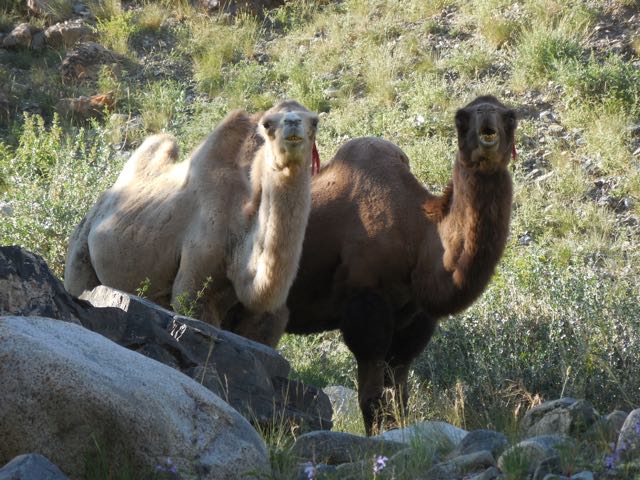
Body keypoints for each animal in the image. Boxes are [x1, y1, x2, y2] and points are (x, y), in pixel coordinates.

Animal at [64, 100, 319, 337]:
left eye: (315, 121)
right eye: (267, 124)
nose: (293, 123)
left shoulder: (266, 315)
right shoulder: (193, 283)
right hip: (80, 249)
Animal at [278, 96, 516, 435]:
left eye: (511, 117)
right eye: (460, 119)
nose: (486, 120)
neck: (418, 236)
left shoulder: (414, 318)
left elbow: (399, 398)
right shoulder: (366, 306)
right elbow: (373, 400)